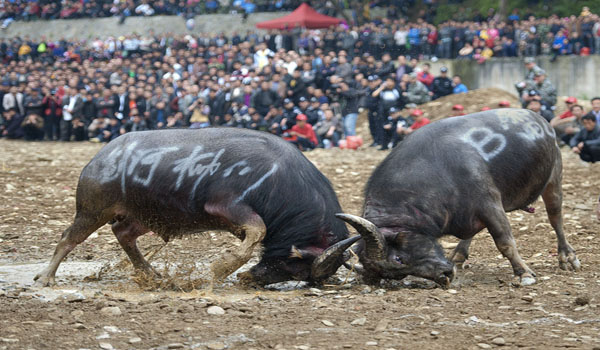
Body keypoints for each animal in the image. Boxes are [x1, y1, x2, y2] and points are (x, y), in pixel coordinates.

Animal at [34, 129, 356, 288]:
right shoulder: (226, 206)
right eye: (295, 267)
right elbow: (258, 230)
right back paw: (46, 277)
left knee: (123, 232)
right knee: (68, 238)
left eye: (301, 275)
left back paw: (151, 274)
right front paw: (220, 268)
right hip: (92, 209)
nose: (251, 280)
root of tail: (100, 157)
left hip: (145, 215)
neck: (280, 178)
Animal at [340, 109, 580, 288]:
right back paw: (457, 256)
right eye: (398, 273)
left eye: (398, 259)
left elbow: (505, 242)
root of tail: (542, 121)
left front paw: (523, 274)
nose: (444, 276)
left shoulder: (490, 203)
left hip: (554, 179)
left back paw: (567, 257)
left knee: (556, 218)